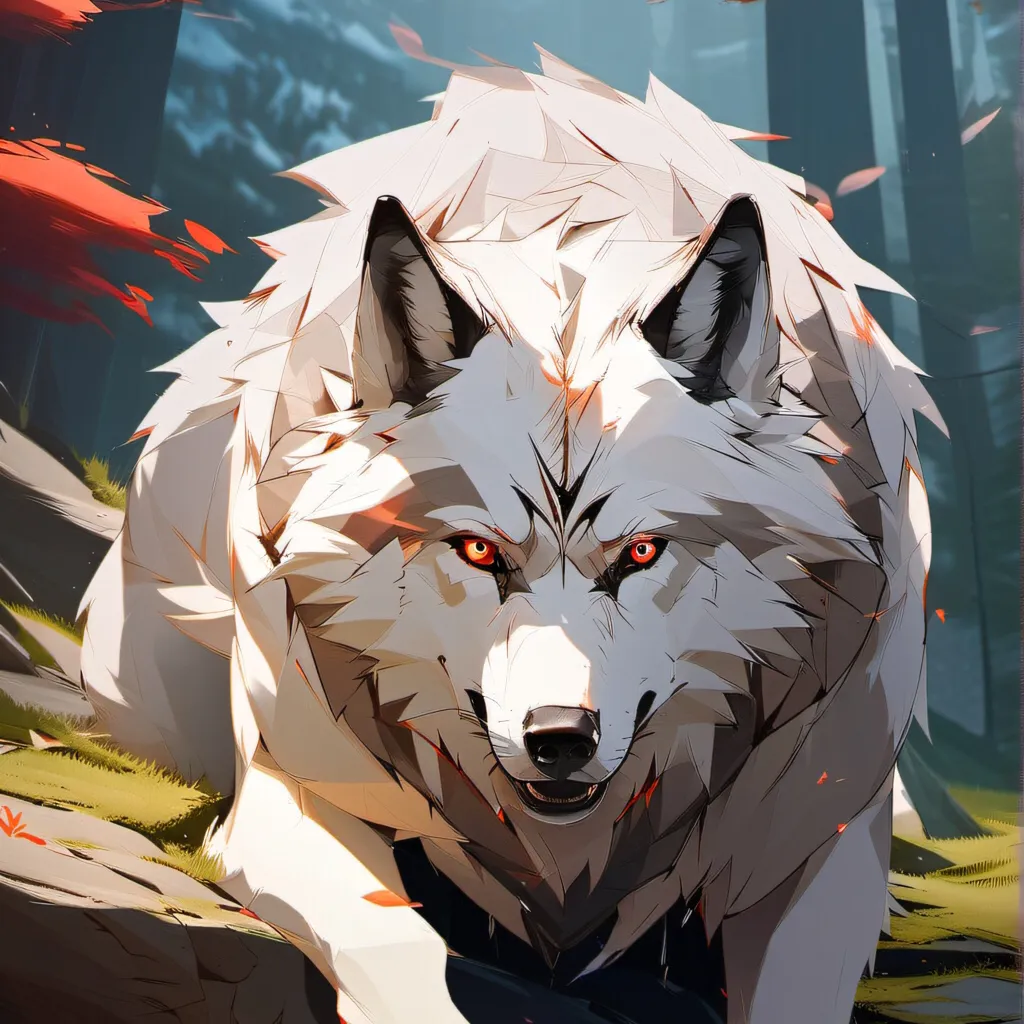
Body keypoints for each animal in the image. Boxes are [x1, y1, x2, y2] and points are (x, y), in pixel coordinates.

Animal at [77, 47, 943, 1024]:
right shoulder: (289, 794)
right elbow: (396, 946)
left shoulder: (815, 842)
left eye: (642, 553)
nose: (559, 736)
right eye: (480, 551)